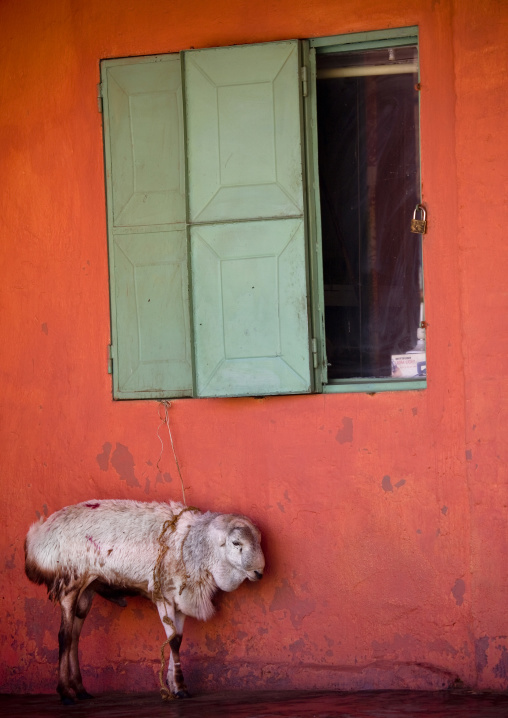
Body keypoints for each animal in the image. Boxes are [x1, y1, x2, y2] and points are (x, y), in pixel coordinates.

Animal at [24, 499, 265, 704]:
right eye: (236, 542)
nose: (259, 572)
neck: (189, 545)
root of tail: (38, 537)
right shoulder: (164, 596)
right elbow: (173, 641)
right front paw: (179, 686)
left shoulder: (180, 598)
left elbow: (177, 639)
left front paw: (176, 685)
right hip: (70, 582)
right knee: (64, 636)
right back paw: (65, 692)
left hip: (87, 590)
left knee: (74, 636)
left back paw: (81, 690)